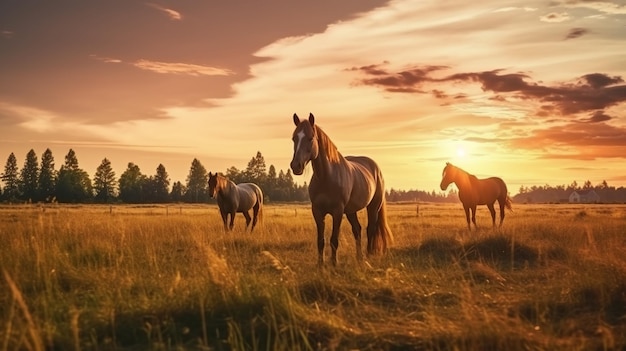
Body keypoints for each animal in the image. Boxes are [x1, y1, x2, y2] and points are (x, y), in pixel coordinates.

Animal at [288, 113, 390, 266]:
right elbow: (320, 241)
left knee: (370, 229)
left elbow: (334, 240)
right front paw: (320, 265)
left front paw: (334, 264)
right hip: (351, 211)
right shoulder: (317, 212)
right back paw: (359, 257)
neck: (327, 178)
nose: (296, 166)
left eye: (311, 138)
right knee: (357, 230)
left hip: (373, 207)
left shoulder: (337, 212)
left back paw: (368, 256)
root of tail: (375, 167)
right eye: (294, 138)